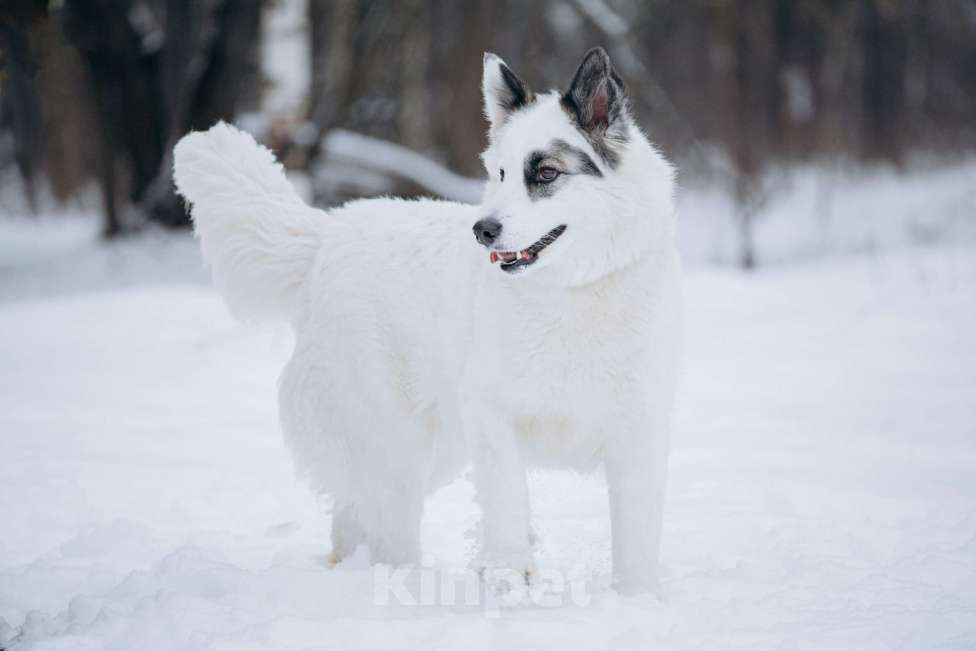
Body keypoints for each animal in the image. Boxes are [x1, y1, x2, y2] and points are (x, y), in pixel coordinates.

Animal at [173, 47, 680, 596]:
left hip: (437, 448)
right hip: (398, 445)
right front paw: (507, 579)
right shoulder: (491, 418)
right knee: (385, 529)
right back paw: (402, 584)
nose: (482, 230)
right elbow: (508, 503)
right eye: (501, 174)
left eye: (545, 174)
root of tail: (329, 234)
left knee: (351, 516)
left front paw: (637, 598)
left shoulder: (640, 431)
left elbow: (635, 538)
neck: (571, 294)